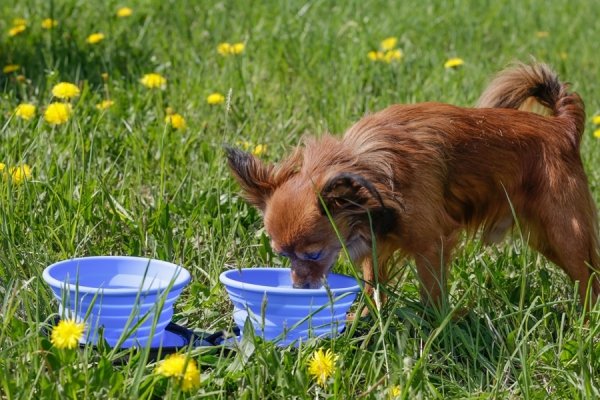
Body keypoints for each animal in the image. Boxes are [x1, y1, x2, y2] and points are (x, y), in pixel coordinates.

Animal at [226, 62, 600, 308]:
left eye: (313, 254)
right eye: (282, 256)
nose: (299, 286)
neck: (369, 170)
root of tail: (562, 126)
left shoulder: (431, 245)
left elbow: (431, 293)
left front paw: (435, 327)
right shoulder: (375, 244)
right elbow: (372, 284)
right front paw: (364, 318)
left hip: (565, 233)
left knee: (589, 278)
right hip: (545, 239)